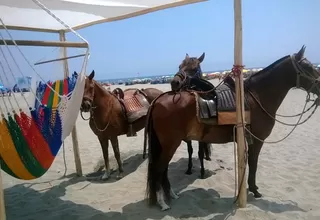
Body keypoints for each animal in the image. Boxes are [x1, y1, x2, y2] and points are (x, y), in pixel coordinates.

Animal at [144, 45, 320, 211]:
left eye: (194, 68)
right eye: (308, 67)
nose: (319, 84)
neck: (256, 97)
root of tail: (158, 100)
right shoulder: (258, 140)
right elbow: (254, 163)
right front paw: (254, 190)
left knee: (163, 170)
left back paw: (171, 195)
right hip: (170, 144)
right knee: (159, 169)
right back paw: (162, 203)